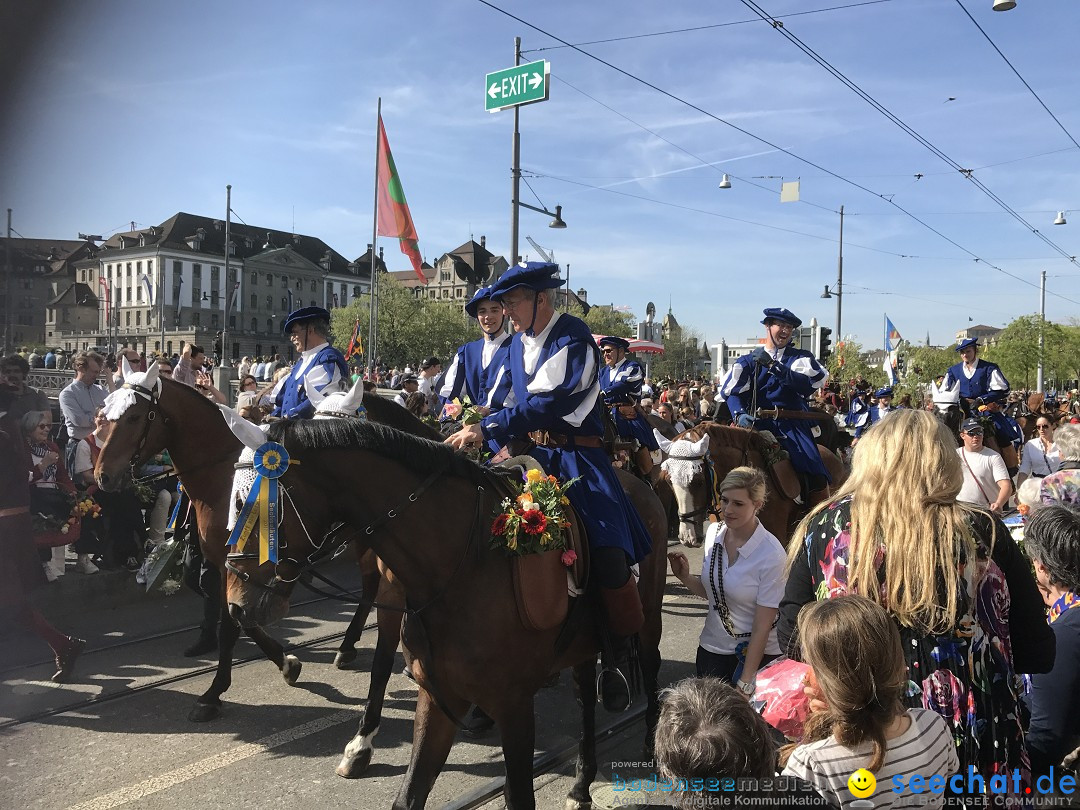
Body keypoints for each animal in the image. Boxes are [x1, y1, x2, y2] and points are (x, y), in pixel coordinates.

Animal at [92, 367, 436, 721]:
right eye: (105, 413)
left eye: (134, 416)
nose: (103, 475)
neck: (220, 478)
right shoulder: (229, 566)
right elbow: (236, 612)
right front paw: (282, 662)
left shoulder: (236, 565)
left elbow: (234, 622)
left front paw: (218, 691)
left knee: (369, 586)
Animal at [226, 419, 665, 810]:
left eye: (250, 504)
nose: (235, 603)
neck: (462, 564)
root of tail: (640, 483)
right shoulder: (437, 696)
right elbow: (409, 792)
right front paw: (361, 746)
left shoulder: (514, 703)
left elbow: (519, 796)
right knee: (585, 694)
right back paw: (581, 782)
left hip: (646, 618)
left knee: (649, 662)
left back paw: (653, 745)